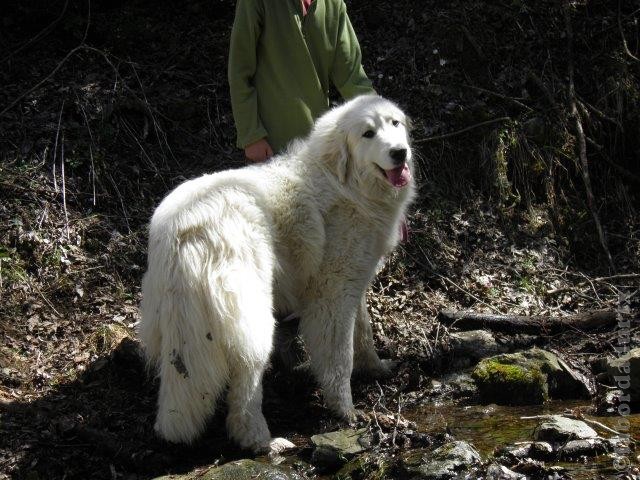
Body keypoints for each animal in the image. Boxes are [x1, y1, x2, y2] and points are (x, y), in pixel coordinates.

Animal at [138, 94, 416, 454]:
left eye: (394, 124)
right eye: (368, 134)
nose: (400, 152)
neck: (344, 181)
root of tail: (184, 228)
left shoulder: (354, 279)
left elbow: (364, 333)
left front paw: (377, 368)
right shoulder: (333, 293)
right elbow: (340, 356)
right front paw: (346, 412)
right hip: (252, 318)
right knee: (245, 392)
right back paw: (264, 442)